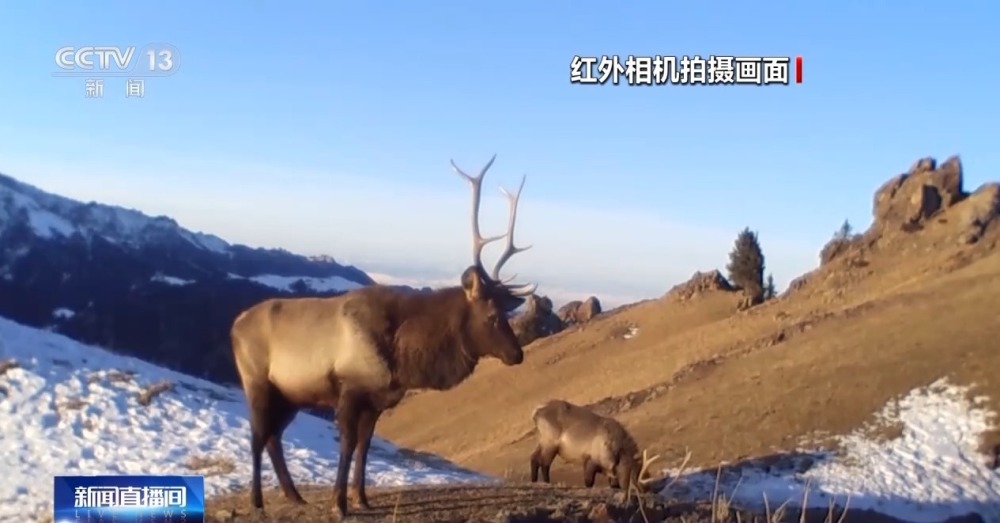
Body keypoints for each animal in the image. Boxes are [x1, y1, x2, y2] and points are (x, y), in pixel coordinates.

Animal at [230, 154, 540, 520]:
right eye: (492, 316)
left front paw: (361, 498)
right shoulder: (350, 389)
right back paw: (257, 500)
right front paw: (339, 503)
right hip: (256, 382)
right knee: (257, 435)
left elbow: (364, 446)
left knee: (274, 436)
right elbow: (348, 444)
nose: (517, 354)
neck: (402, 357)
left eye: (507, 312)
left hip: (290, 394)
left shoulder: (379, 398)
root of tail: (234, 325)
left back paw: (294, 496)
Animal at [528, 402, 660, 500]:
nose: (646, 491)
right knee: (544, 463)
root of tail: (536, 413)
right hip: (550, 444)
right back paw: (546, 483)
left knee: (534, 458)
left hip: (542, 442)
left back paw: (534, 481)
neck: (618, 453)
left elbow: (614, 485)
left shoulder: (610, 471)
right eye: (635, 475)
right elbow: (589, 482)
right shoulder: (590, 461)